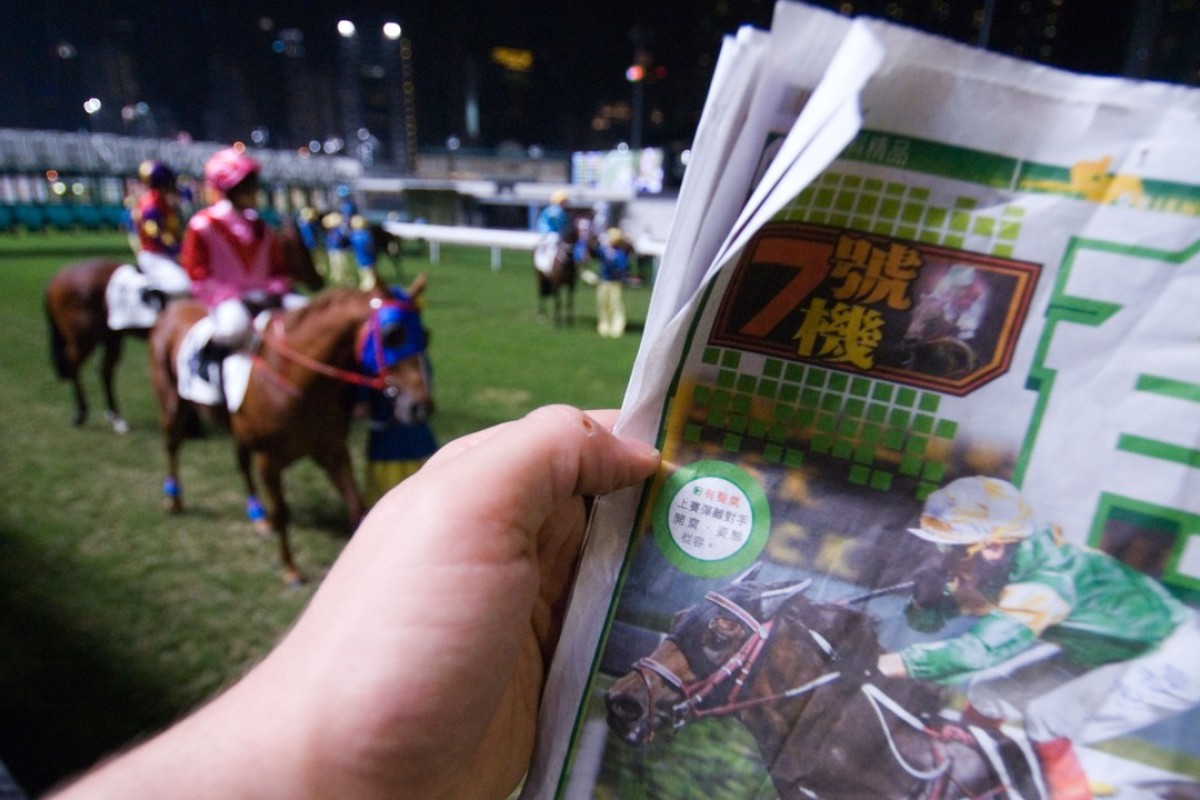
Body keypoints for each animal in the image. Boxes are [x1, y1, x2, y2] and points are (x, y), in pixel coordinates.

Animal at [46, 219, 321, 434]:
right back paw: (81, 413)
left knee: (105, 371)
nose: (318, 280)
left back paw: (116, 419)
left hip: (112, 337)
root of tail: (58, 278)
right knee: (74, 364)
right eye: (301, 250)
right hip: (84, 339)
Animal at [147, 280, 432, 582]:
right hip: (172, 402)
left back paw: (258, 515)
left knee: (241, 461)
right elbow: (283, 511)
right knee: (172, 445)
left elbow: (356, 506)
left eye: (425, 335)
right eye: (393, 335)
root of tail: (172, 309)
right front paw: (290, 568)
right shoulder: (269, 460)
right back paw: (174, 500)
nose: (420, 406)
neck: (299, 382)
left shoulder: (332, 450)